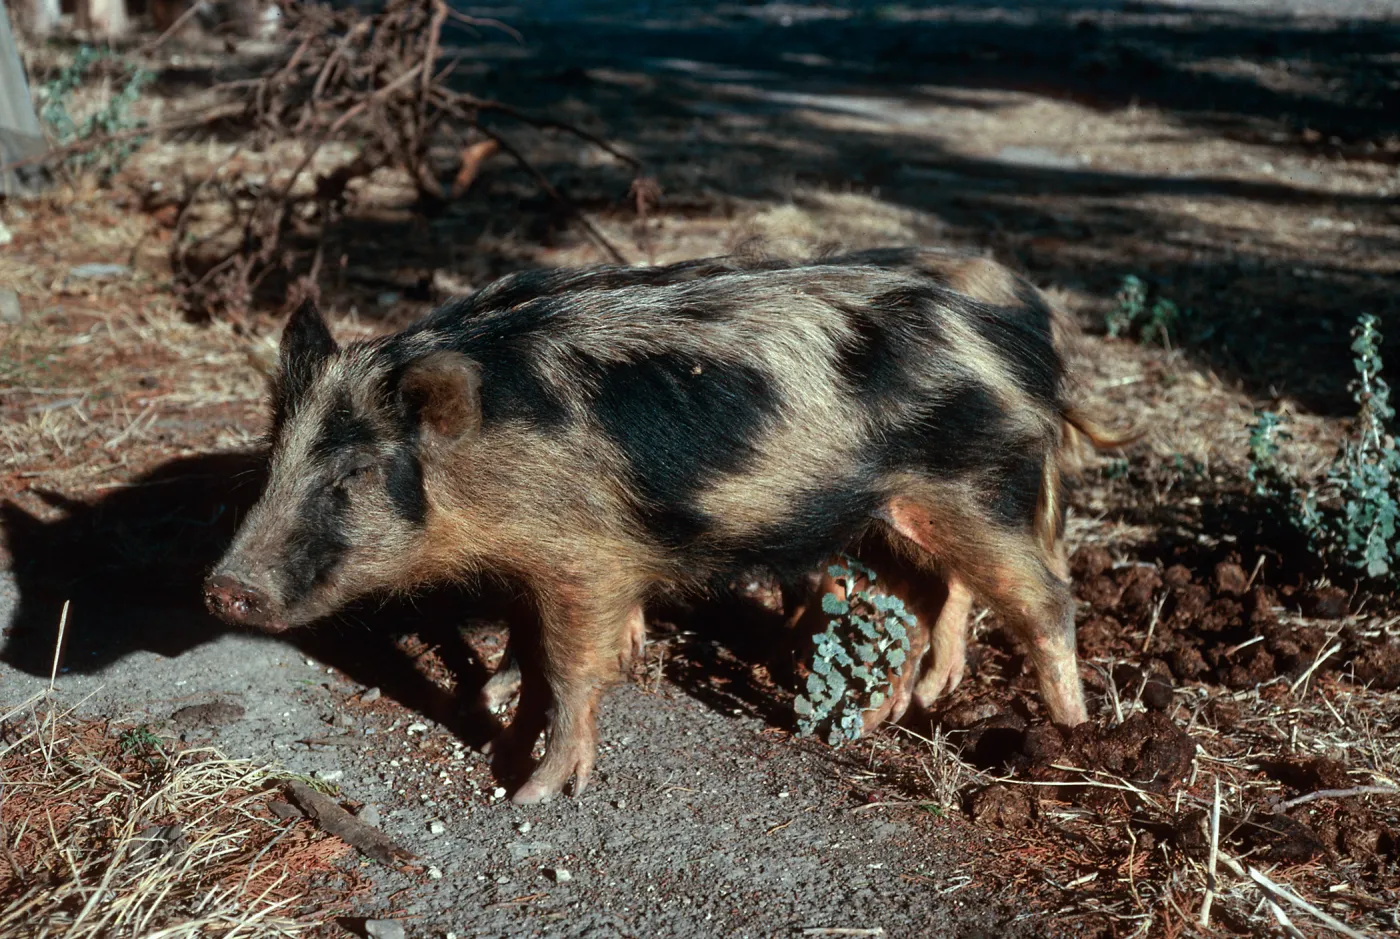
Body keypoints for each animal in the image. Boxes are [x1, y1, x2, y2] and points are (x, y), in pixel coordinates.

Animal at [205, 252, 1126, 804]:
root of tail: (1027, 354)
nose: (223, 586)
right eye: (276, 458)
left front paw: (532, 791)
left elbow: (572, 669)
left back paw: (1077, 736)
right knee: (928, 599)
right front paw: (497, 712)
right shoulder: (535, 563)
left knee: (1045, 599)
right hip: (886, 514)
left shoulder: (589, 557)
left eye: (354, 474)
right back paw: (883, 720)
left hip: (979, 493)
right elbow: (526, 647)